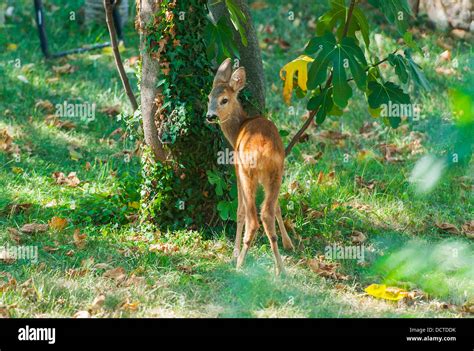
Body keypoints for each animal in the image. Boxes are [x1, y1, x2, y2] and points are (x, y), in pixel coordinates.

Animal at [206, 59, 292, 276]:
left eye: (224, 100)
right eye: (209, 96)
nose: (210, 116)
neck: (239, 126)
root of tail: (263, 152)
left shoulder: (236, 170)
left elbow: (239, 212)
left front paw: (234, 253)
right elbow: (278, 208)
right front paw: (288, 243)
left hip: (247, 174)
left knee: (253, 219)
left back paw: (239, 264)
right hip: (277, 173)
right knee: (268, 212)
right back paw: (280, 269)